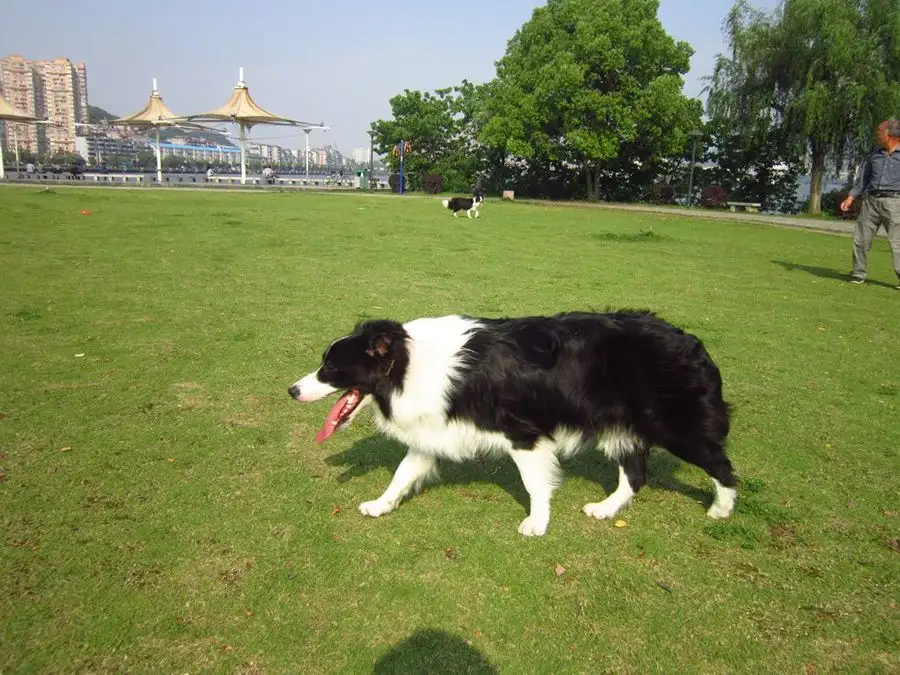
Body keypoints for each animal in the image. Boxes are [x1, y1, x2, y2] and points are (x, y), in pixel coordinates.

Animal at [290, 312, 740, 540]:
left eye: (330, 368)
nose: (292, 390)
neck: (407, 363)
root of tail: (691, 340)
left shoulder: (523, 433)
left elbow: (535, 483)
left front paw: (537, 524)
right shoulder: (433, 430)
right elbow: (402, 474)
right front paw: (381, 505)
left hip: (678, 426)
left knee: (722, 465)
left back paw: (721, 508)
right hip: (623, 429)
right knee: (635, 474)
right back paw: (606, 509)